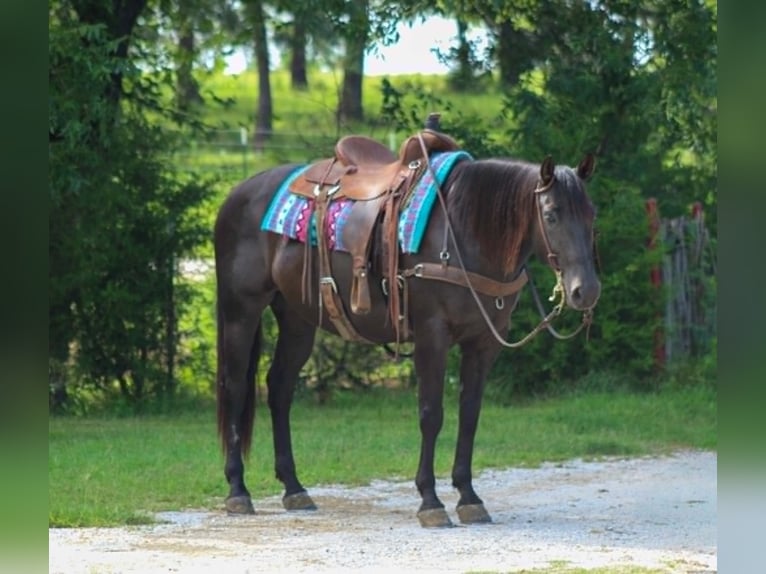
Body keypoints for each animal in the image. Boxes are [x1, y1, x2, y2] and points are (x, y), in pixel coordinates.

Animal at [213, 137, 601, 528]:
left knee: (279, 388)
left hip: (297, 319)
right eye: (551, 215)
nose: (585, 291)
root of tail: (238, 192)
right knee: (235, 387)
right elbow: (431, 414)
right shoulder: (432, 336)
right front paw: (430, 501)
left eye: (591, 215)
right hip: (241, 310)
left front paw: (469, 497)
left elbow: (470, 415)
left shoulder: (483, 343)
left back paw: (294, 488)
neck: (463, 232)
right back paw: (238, 491)